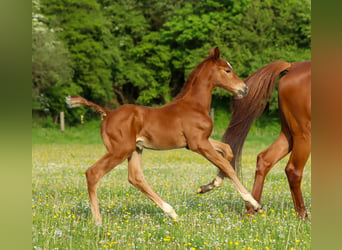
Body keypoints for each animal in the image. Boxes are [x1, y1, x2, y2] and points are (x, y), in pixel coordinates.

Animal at [66, 47, 262, 224]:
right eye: (227, 70)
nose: (244, 89)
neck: (194, 105)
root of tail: (108, 113)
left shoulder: (199, 141)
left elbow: (227, 152)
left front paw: (206, 187)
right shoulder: (198, 143)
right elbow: (227, 165)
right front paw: (254, 203)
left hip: (135, 149)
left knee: (136, 178)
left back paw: (172, 213)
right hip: (120, 150)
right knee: (93, 172)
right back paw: (98, 221)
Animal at [196, 60, 312, 219]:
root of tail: (293, 66)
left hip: (289, 134)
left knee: (265, 159)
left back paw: (252, 208)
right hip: (303, 134)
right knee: (293, 170)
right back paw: (302, 215)